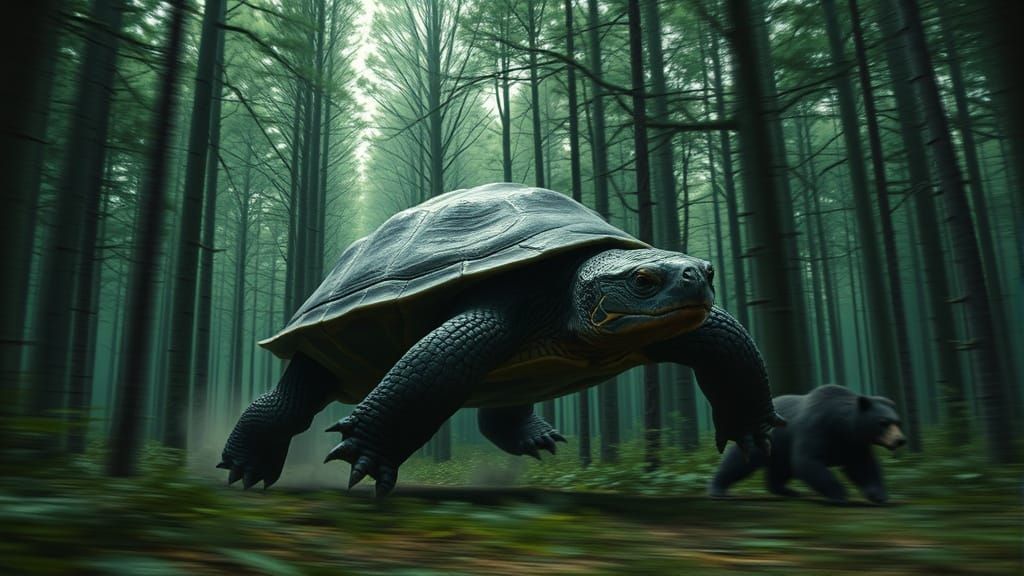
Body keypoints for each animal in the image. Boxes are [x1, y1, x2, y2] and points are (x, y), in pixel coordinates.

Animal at [708, 384, 906, 504]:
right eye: (883, 422)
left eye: (898, 421)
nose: (900, 440)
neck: (841, 425)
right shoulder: (816, 428)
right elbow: (808, 460)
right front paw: (839, 494)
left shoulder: (852, 443)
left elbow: (863, 466)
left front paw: (878, 494)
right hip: (764, 439)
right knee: (738, 462)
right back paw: (718, 489)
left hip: (779, 449)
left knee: (780, 470)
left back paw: (787, 490)